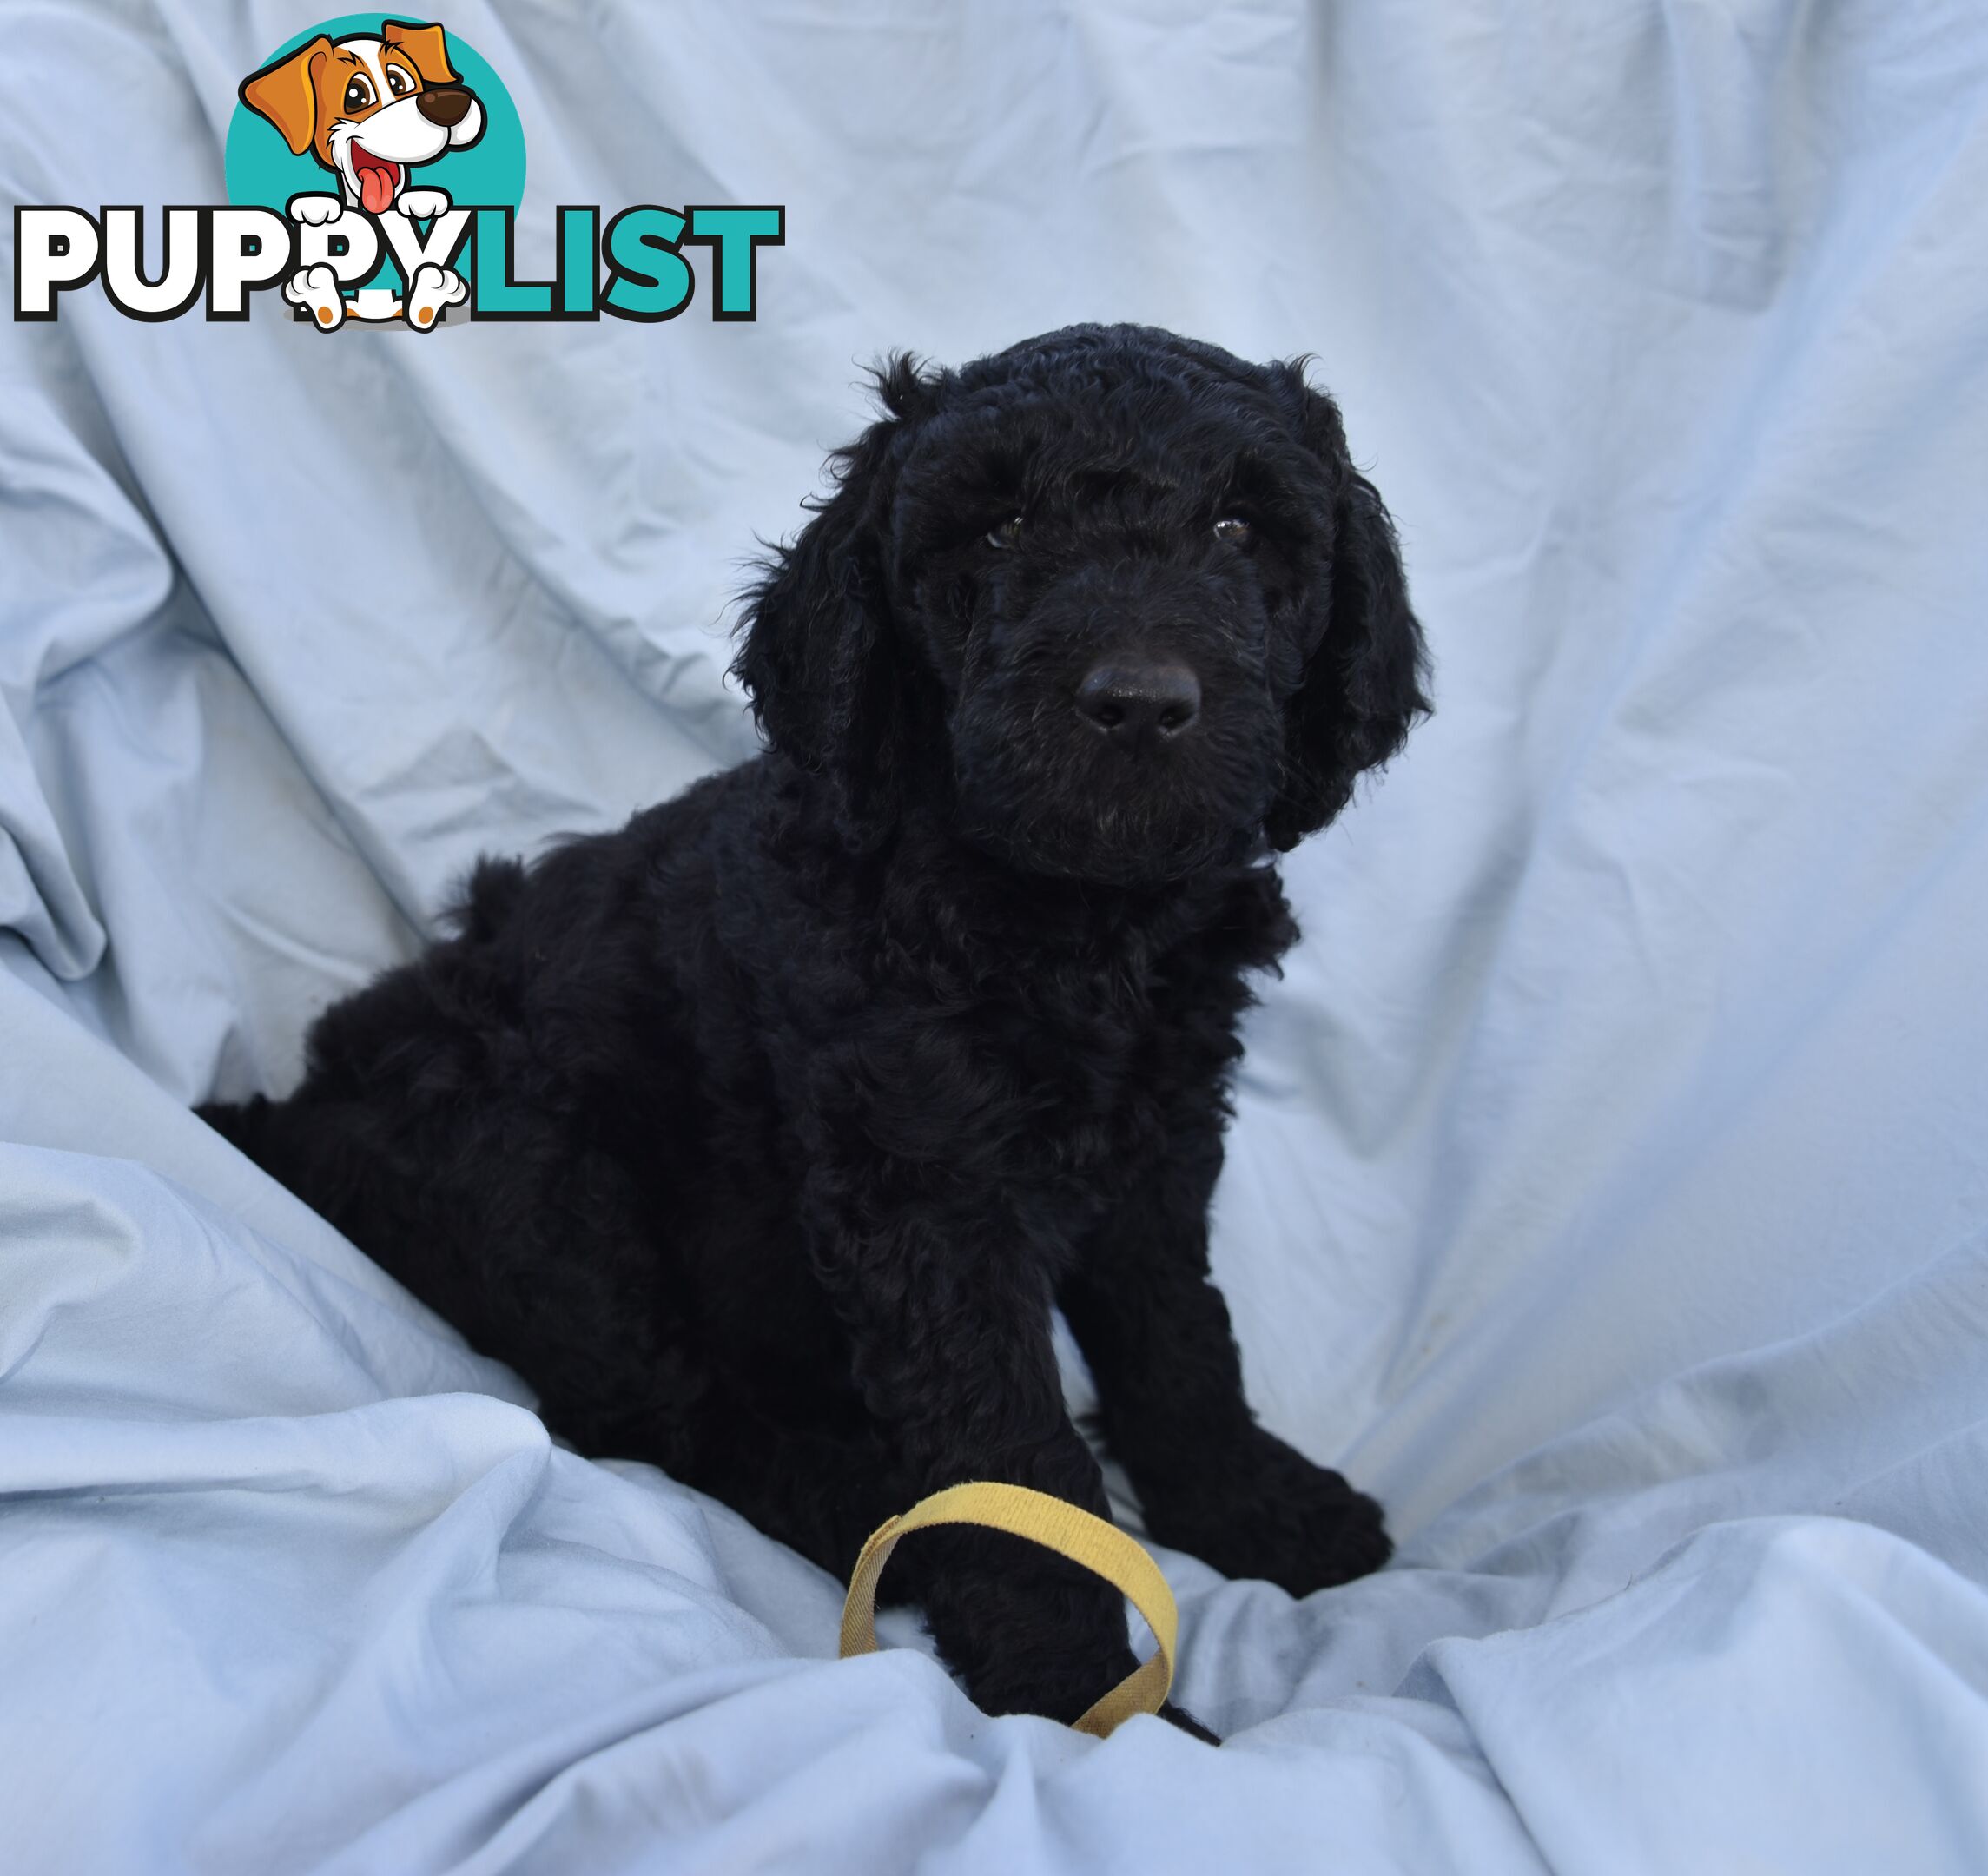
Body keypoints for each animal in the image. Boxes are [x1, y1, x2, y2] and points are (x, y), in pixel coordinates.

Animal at [205, 326, 1431, 1741]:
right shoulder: (924, 1192)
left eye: (1239, 529)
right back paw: (864, 1512)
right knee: (648, 1413)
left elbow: (1180, 1336)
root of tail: (301, 1114)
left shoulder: (1162, 1140)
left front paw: (1253, 1509)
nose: (1136, 701)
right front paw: (1077, 1695)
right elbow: (1010, 1453)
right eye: (1004, 528)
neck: (1070, 927)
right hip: (536, 1173)